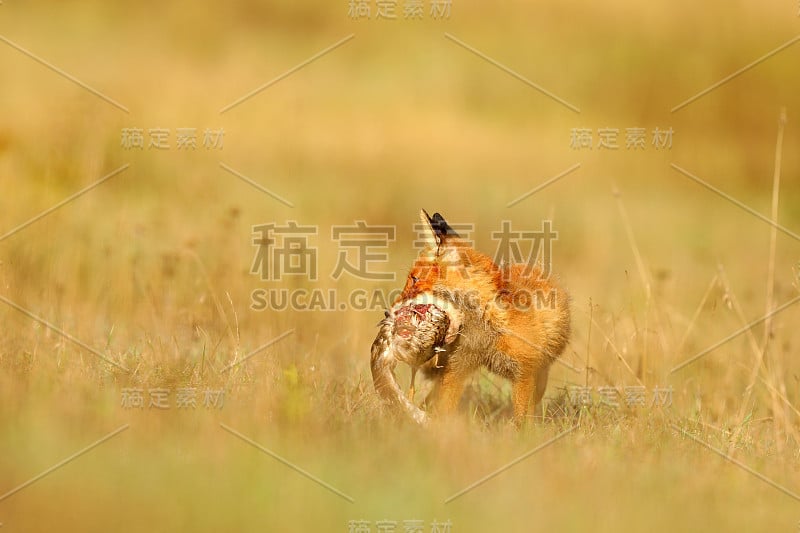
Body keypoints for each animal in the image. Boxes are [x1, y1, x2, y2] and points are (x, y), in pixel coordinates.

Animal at [372, 208, 572, 424]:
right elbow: (444, 409)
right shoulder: (456, 368)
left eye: (415, 279)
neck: (486, 334)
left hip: (541, 376)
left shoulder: (525, 374)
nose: (387, 312)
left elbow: (522, 420)